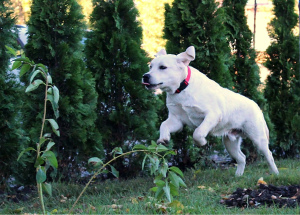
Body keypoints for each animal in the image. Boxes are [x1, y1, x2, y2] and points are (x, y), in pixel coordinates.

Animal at [142, 46, 278, 176]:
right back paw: (238, 176)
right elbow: (163, 124)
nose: (145, 76)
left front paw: (201, 142)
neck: (182, 88)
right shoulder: (176, 120)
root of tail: (257, 107)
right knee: (242, 158)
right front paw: (163, 139)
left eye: (163, 67)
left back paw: (275, 174)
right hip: (229, 142)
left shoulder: (213, 115)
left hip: (258, 138)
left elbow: (197, 132)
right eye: (150, 66)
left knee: (269, 155)